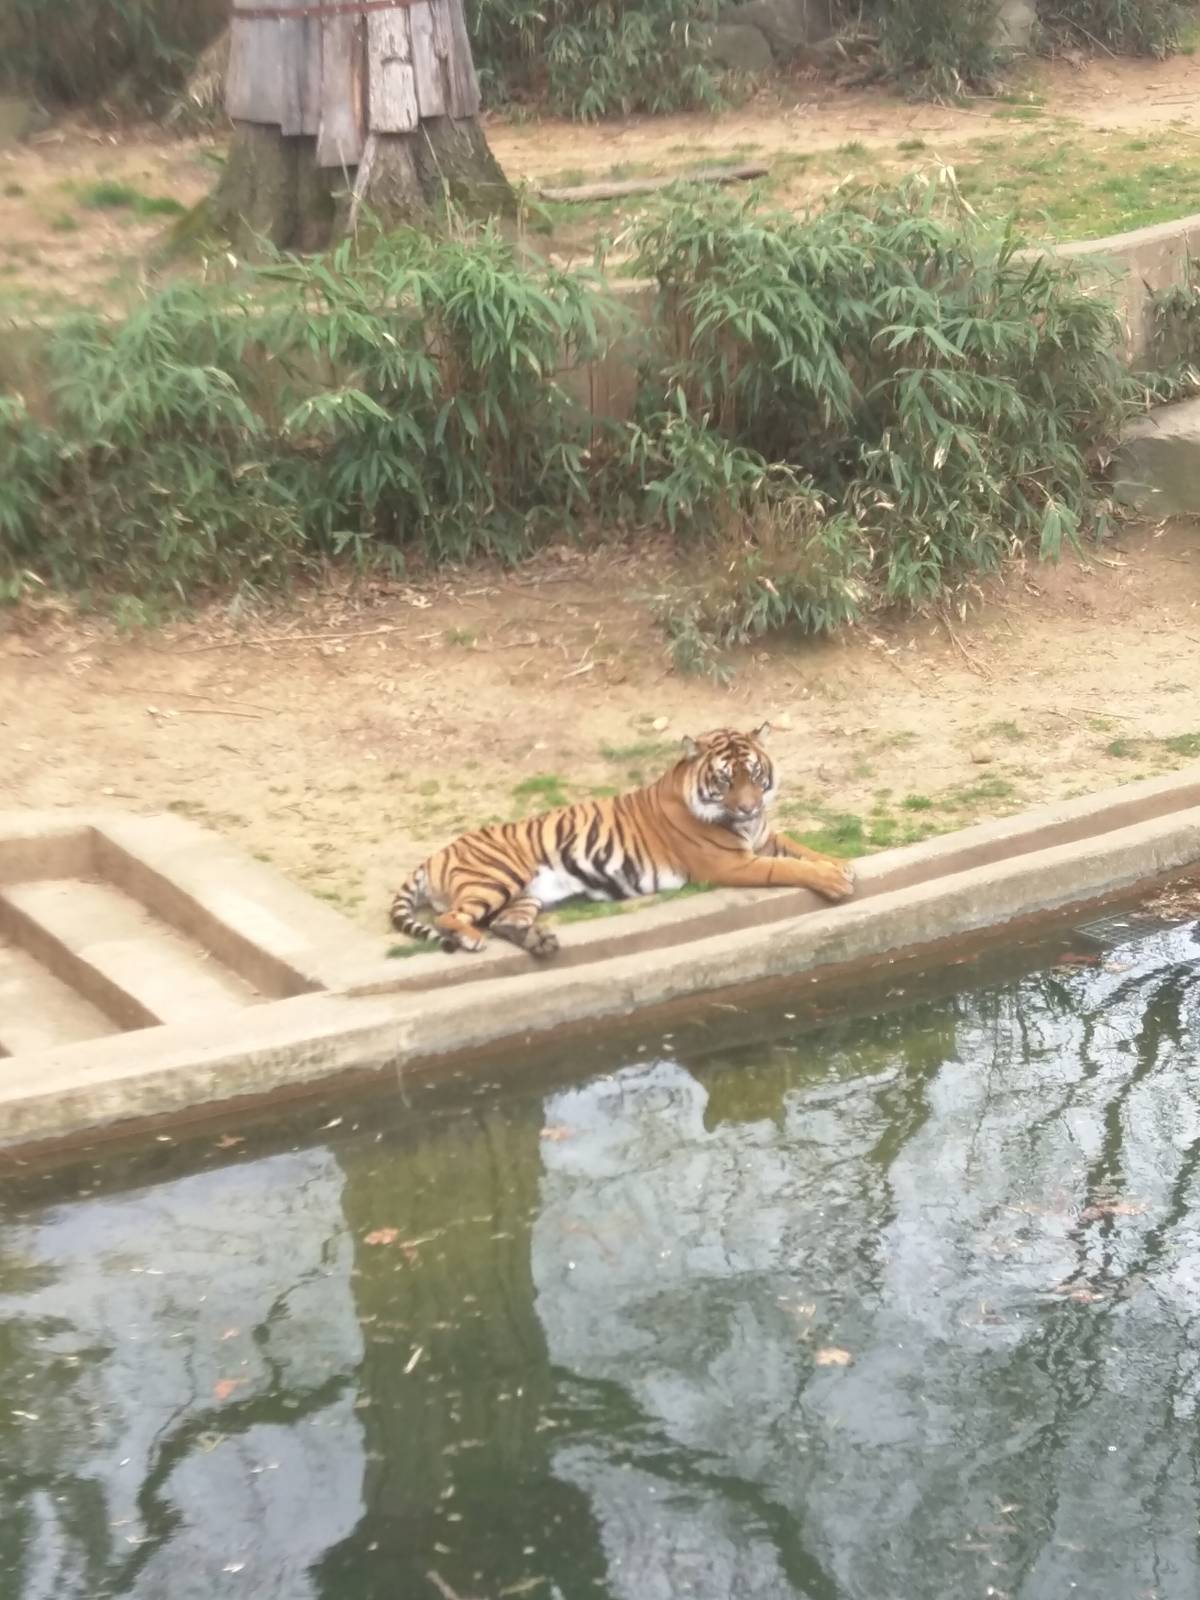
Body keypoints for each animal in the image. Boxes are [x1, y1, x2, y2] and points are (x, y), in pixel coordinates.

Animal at [390, 724, 856, 959]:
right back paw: (471, 939)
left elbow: (802, 849)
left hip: (525, 894)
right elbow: (788, 866)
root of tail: (433, 856)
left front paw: (840, 864)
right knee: (453, 918)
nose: (747, 808)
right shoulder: (732, 863)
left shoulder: (764, 837)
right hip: (499, 876)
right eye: (725, 780)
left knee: (505, 921)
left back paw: (540, 942)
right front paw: (835, 880)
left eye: (754, 774)